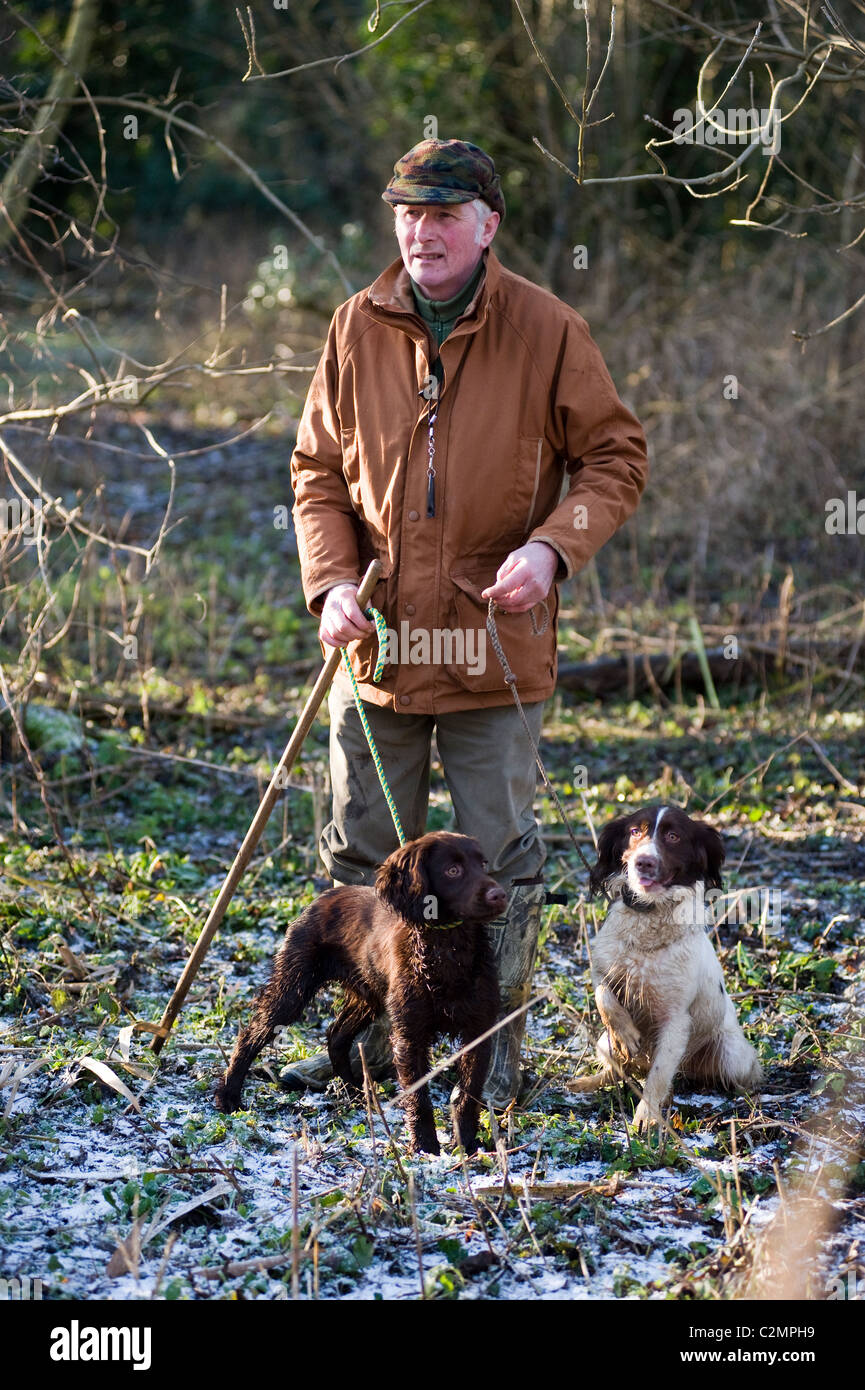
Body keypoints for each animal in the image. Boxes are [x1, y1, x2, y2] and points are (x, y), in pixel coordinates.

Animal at [214, 828, 506, 1156]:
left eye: (483, 864)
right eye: (453, 870)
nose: (499, 894)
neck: (448, 946)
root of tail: (324, 896)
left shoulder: (478, 1029)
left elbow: (469, 1094)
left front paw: (467, 1145)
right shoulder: (411, 1034)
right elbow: (419, 1096)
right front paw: (425, 1147)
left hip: (367, 995)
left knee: (336, 1035)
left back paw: (357, 1091)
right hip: (294, 986)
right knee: (253, 1032)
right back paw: (229, 1095)